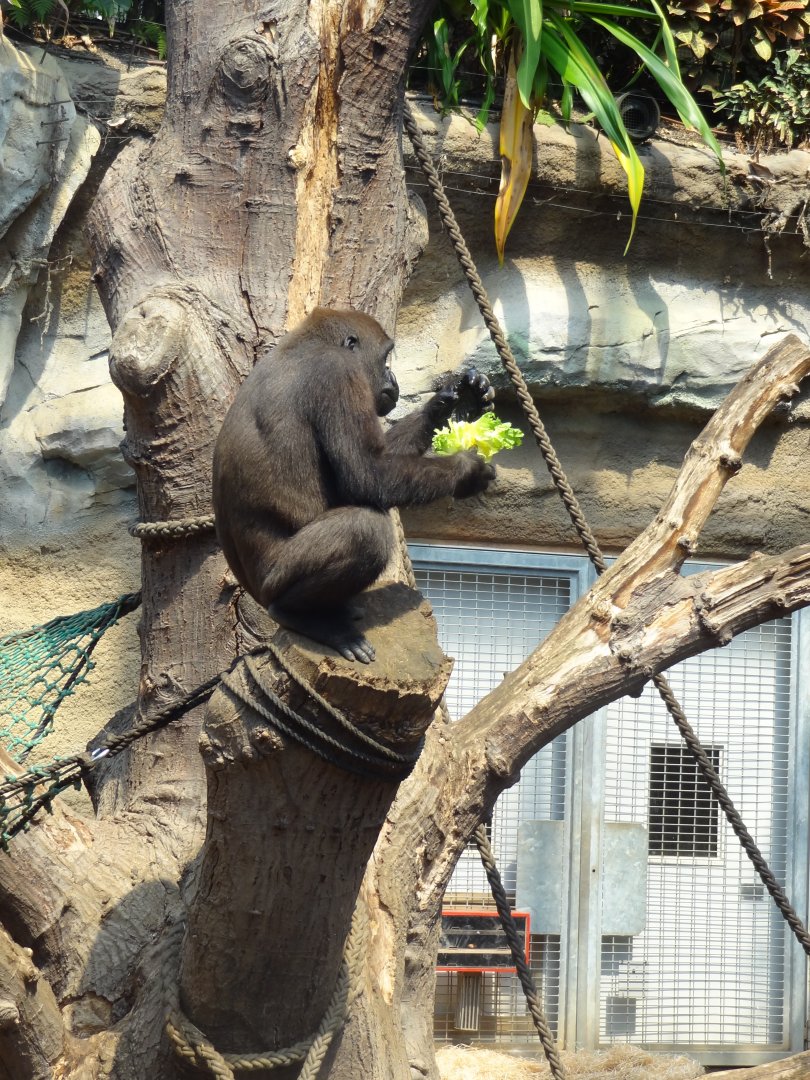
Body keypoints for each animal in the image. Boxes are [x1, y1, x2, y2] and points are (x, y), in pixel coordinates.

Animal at [212, 307, 496, 663]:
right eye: (385, 358)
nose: (393, 378)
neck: (303, 344)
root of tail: (254, 593)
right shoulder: (339, 373)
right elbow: (368, 474)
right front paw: (466, 471)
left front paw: (447, 403)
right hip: (272, 582)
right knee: (366, 529)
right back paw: (303, 616)